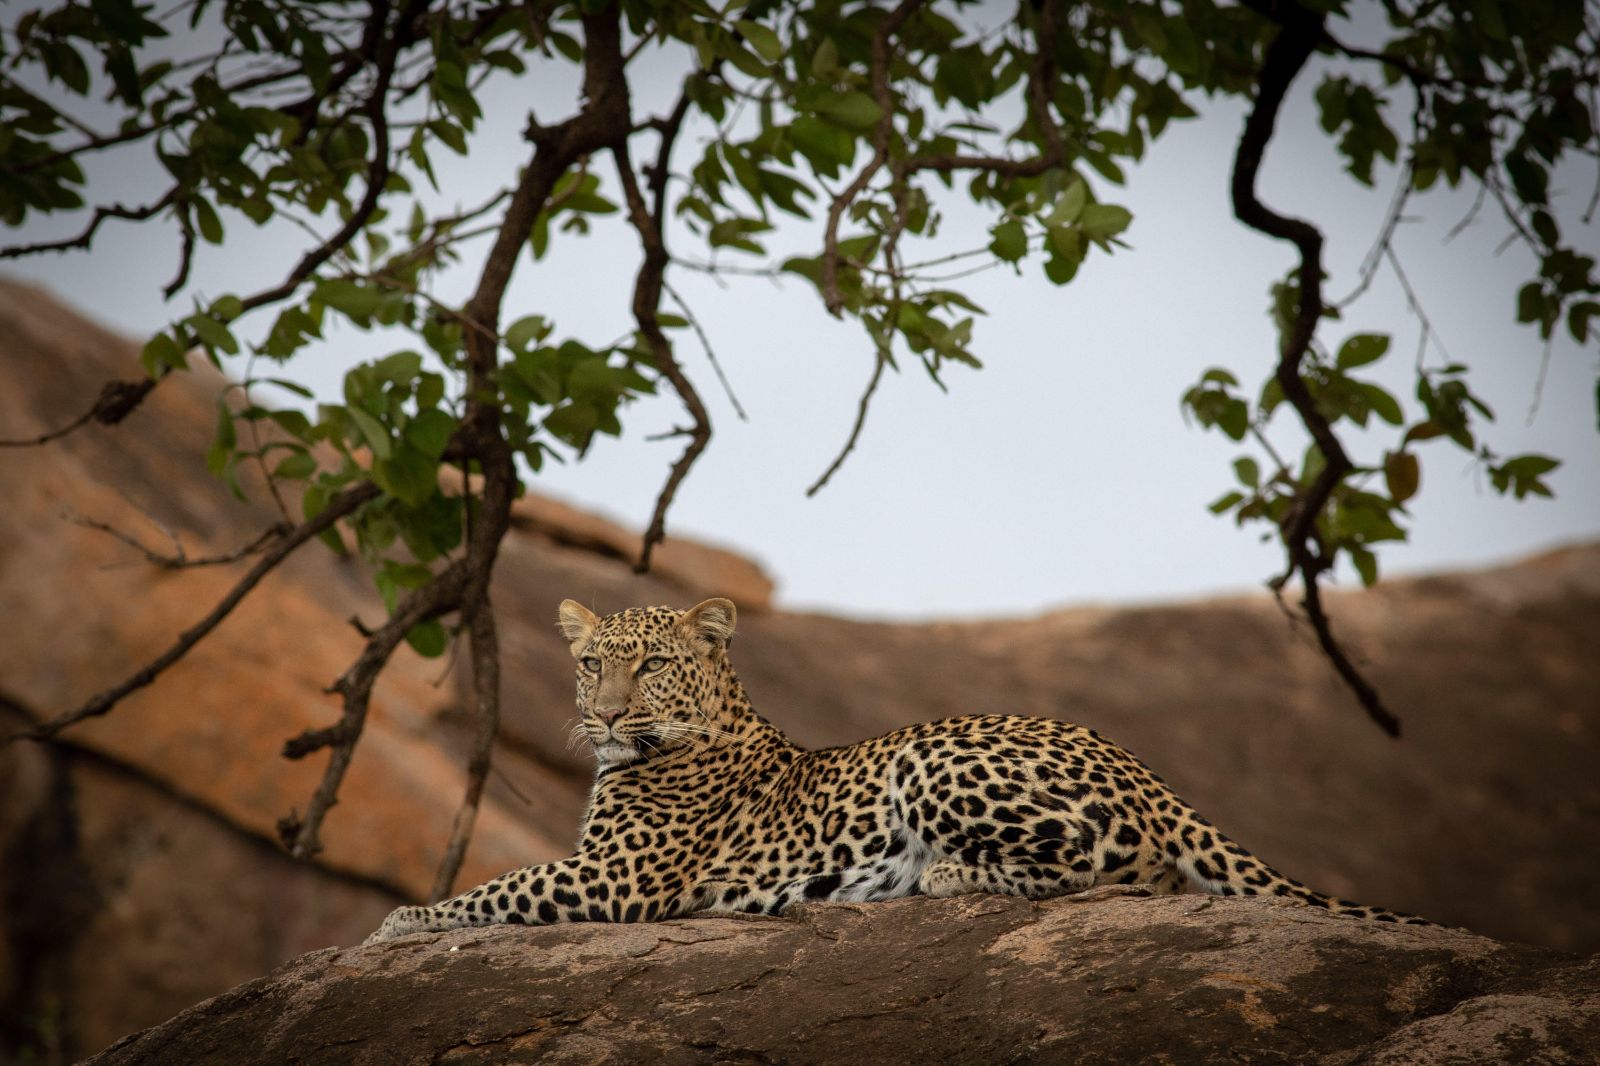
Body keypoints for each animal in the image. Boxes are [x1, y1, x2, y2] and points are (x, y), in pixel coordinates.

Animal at [365, 597, 1426, 943]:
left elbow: (498, 888)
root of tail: (1141, 765)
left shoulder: (614, 877)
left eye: (653, 664)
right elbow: (503, 884)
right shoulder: (601, 868)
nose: (608, 714)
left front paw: (398, 923)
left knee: (1098, 862)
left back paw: (941, 872)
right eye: (591, 663)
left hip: (933, 756)